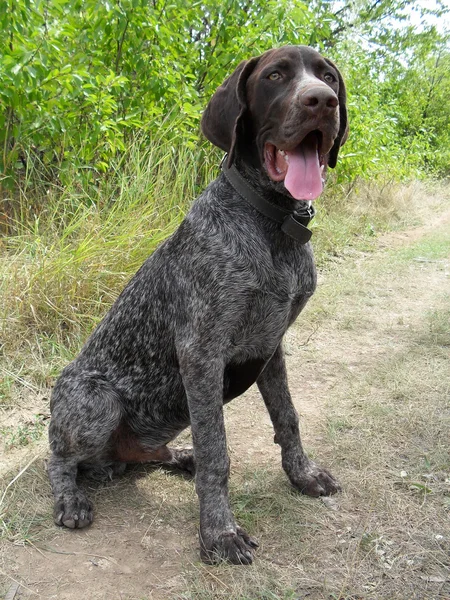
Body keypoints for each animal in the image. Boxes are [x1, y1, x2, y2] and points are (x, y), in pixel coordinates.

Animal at [47, 44, 348, 564]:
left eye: (328, 77)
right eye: (274, 76)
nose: (322, 102)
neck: (273, 224)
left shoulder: (269, 348)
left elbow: (287, 418)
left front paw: (302, 475)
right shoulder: (202, 353)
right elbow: (216, 452)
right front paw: (219, 532)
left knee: (145, 455)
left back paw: (175, 457)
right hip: (94, 400)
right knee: (59, 459)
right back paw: (71, 497)